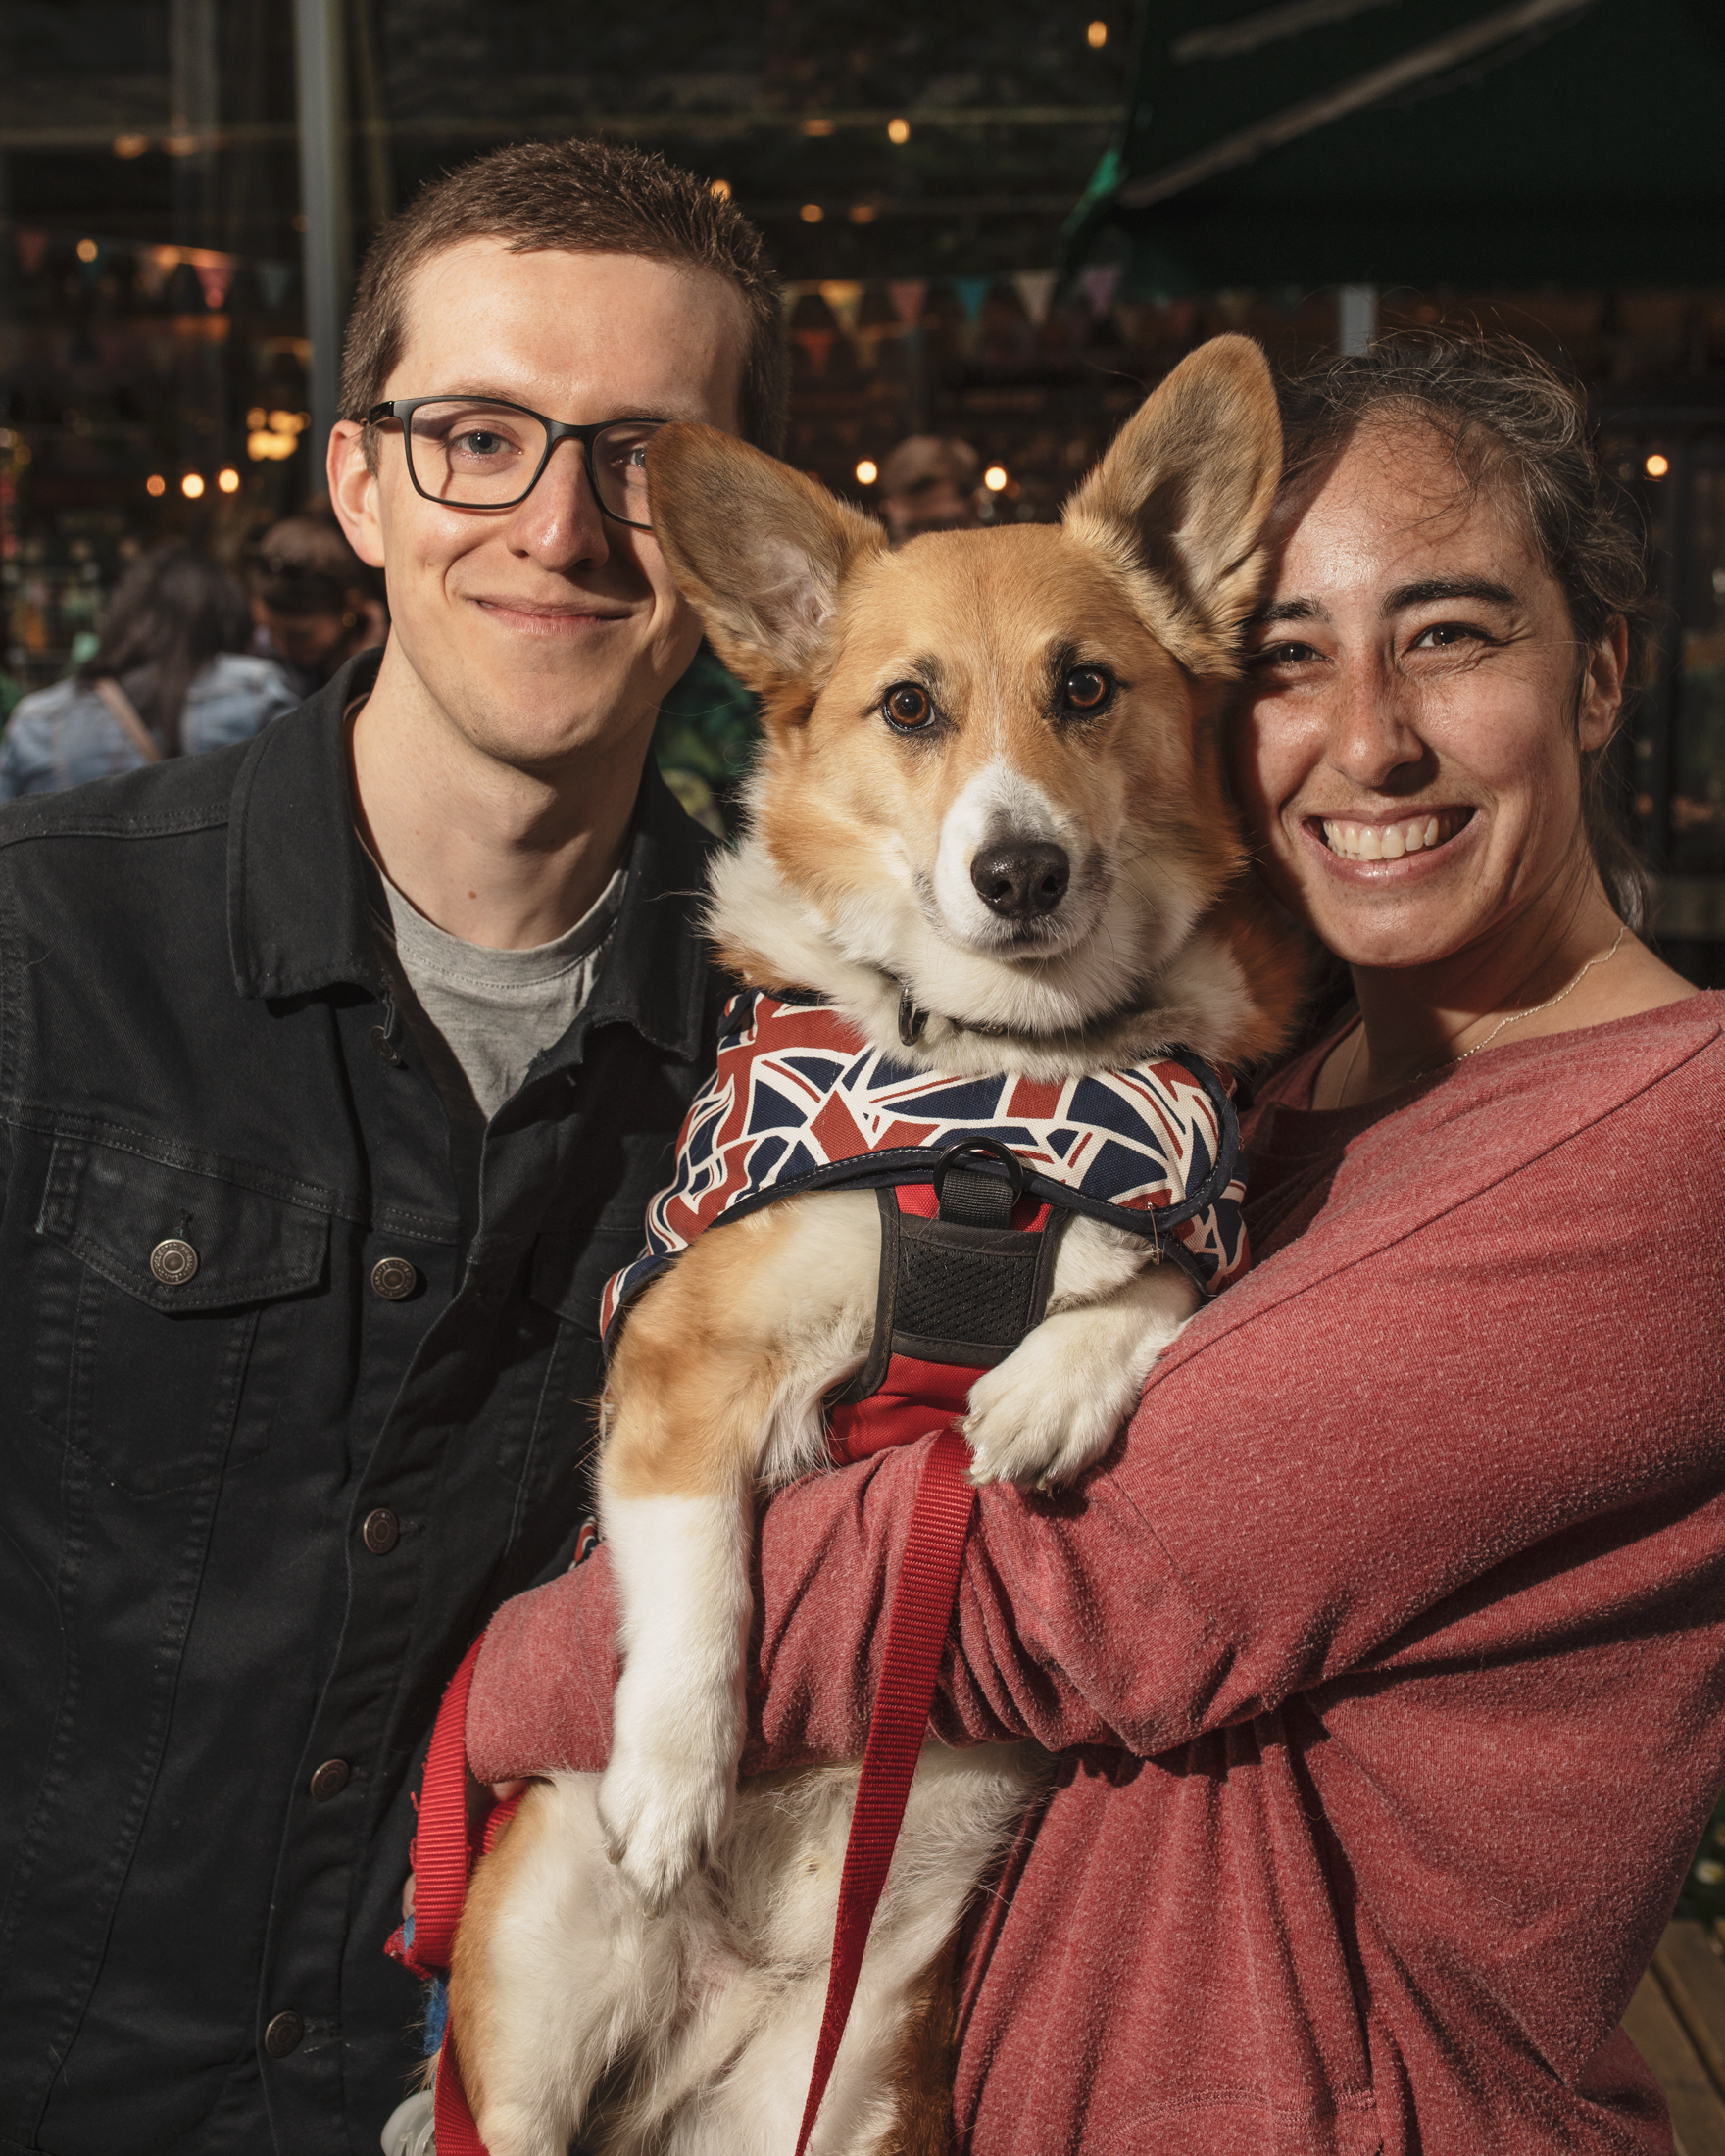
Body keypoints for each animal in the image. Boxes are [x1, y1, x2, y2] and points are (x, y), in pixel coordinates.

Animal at [444, 336, 1294, 2156]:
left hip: (854, 2081)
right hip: (530, 1970)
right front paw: (676, 1777)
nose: (1020, 868)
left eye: (1089, 689)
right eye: (909, 707)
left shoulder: (1194, 1205)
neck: (1004, 1089)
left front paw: (1046, 1389)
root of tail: (694, 2045)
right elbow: (698, 1570)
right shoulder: (681, 1356)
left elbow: (1159, 1282)